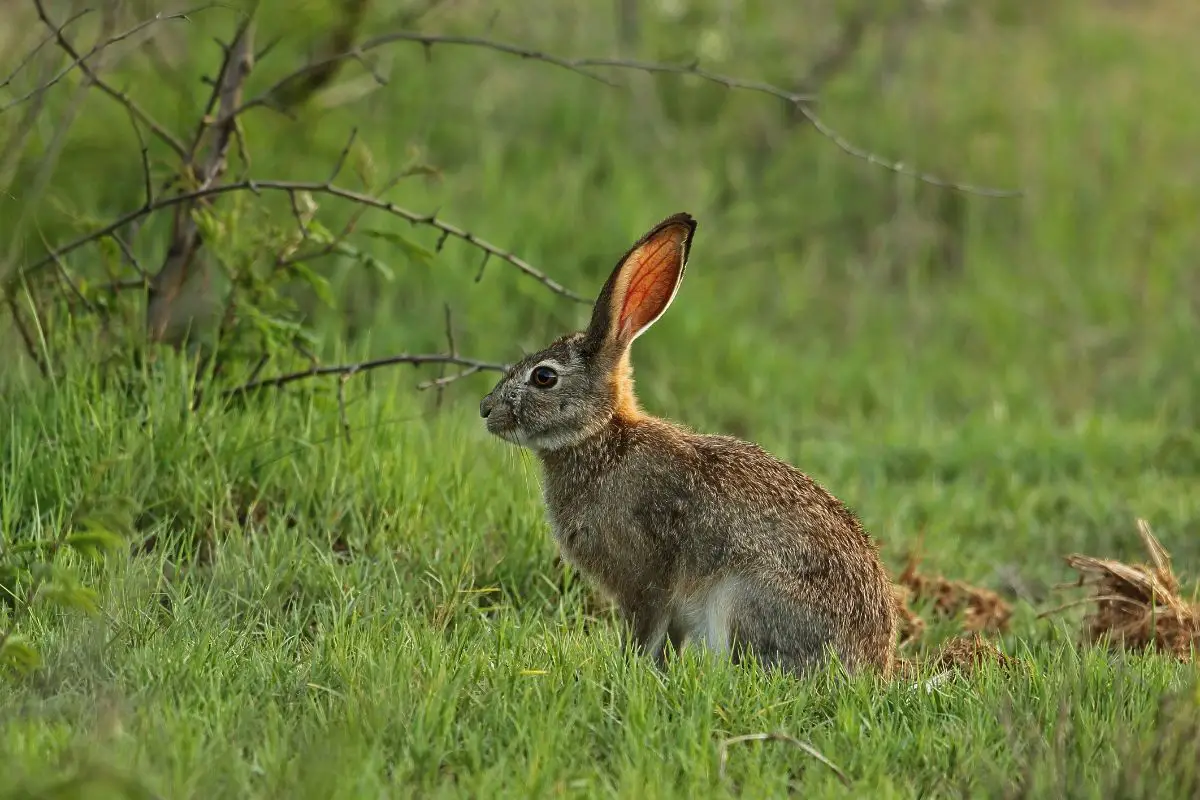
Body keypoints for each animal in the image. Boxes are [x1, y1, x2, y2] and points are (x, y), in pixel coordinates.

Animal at [482, 212, 897, 676]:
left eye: (544, 377)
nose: (485, 409)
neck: (602, 438)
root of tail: (869, 667)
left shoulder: (644, 578)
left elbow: (645, 631)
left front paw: (629, 670)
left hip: (741, 598)